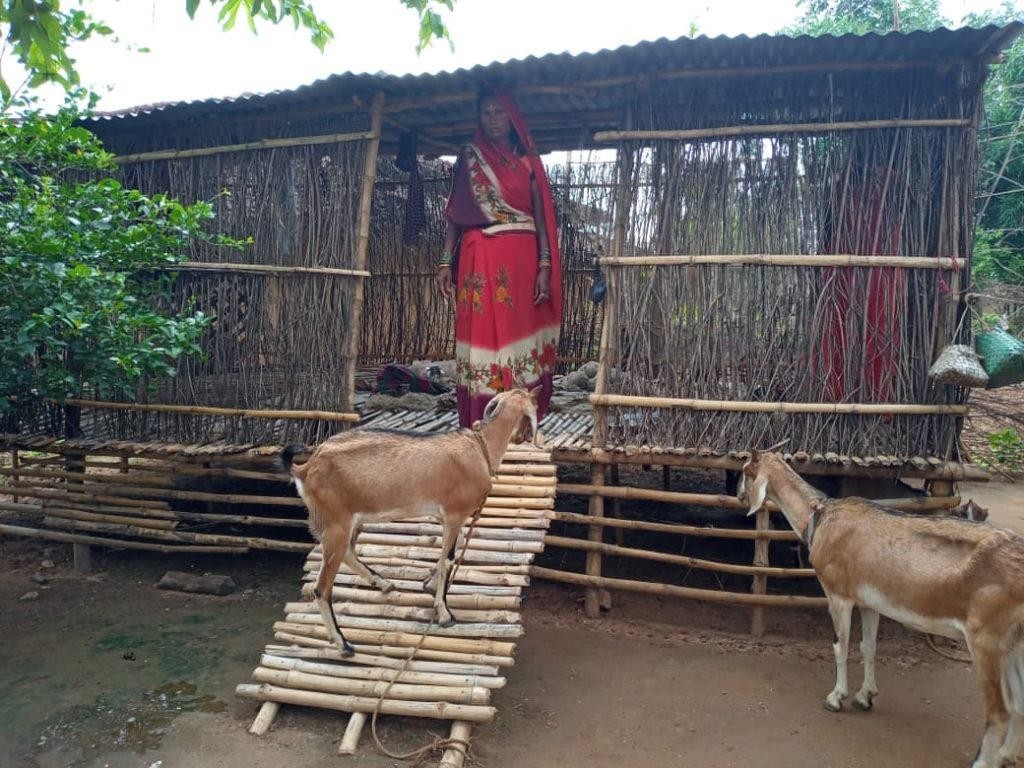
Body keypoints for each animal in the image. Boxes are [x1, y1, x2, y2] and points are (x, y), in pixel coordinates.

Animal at [276, 387, 540, 659]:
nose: (523, 437)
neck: (480, 448)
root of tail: (305, 468)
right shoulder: (454, 514)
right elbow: (448, 559)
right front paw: (444, 613)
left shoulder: (447, 518)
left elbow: (450, 552)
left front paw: (428, 584)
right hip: (336, 523)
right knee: (322, 588)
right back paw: (344, 644)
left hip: (350, 521)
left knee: (349, 552)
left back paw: (383, 583)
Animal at [741, 450, 1024, 768]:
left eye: (745, 471)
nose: (739, 496)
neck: (821, 517)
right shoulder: (869, 602)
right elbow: (868, 647)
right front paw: (865, 697)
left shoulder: (839, 595)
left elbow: (841, 646)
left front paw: (836, 697)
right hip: (1014, 642)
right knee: (1020, 703)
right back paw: (1006, 755)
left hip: (986, 640)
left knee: (998, 711)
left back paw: (984, 761)